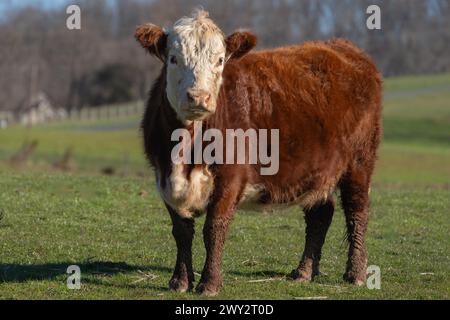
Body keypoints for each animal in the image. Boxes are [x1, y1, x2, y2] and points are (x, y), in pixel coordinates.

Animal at [135, 10, 382, 296]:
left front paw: (209, 283)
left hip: (359, 162)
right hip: (318, 169)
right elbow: (181, 232)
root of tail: (345, 47)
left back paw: (356, 274)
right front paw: (179, 281)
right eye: (174, 58)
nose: (199, 97)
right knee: (320, 214)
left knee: (357, 211)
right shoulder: (163, 176)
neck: (185, 153)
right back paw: (304, 272)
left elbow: (214, 228)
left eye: (220, 60)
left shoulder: (230, 178)